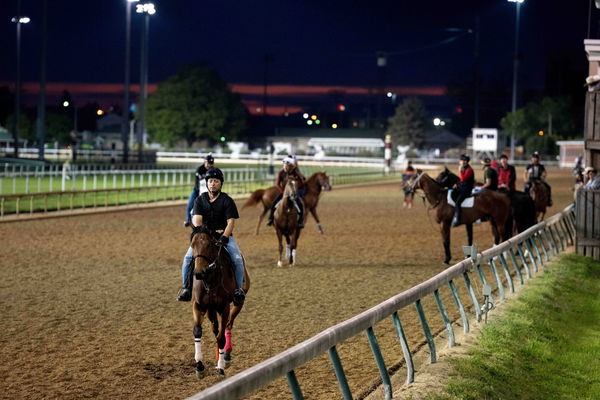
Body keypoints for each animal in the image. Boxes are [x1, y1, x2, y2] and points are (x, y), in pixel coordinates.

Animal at [190, 227, 251, 376]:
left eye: (208, 245)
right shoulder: (199, 305)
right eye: (192, 245)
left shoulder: (224, 308)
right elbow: (197, 331)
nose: (198, 273)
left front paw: (221, 366)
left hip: (238, 303)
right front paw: (199, 365)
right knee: (216, 330)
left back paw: (226, 355)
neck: (211, 280)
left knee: (228, 326)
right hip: (211, 310)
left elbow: (221, 337)